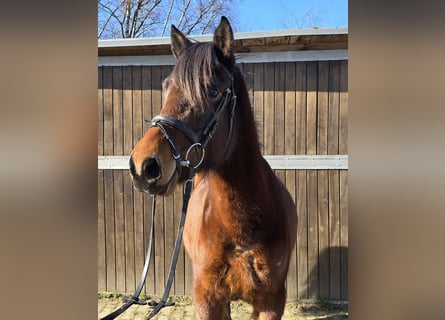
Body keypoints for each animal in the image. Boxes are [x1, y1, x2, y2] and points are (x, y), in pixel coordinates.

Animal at [128, 16, 294, 320]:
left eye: (213, 90)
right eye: (166, 87)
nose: (143, 165)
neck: (242, 229)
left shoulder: (271, 302)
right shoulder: (207, 300)